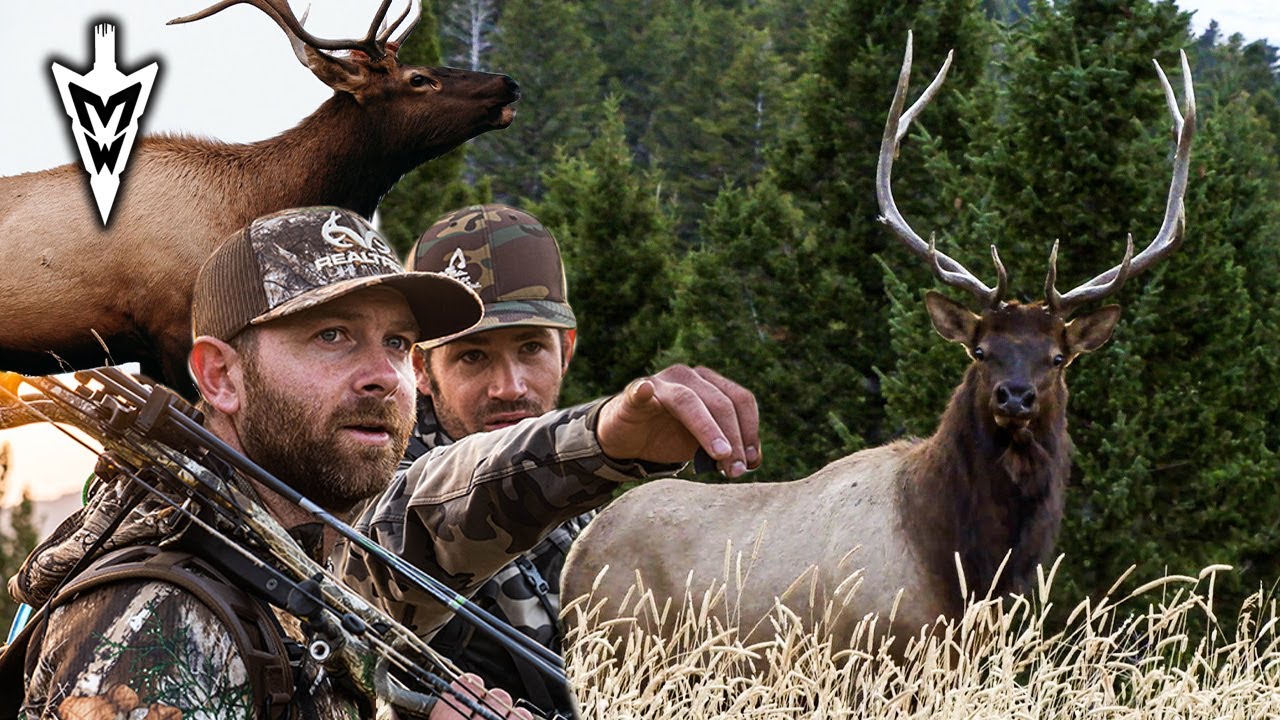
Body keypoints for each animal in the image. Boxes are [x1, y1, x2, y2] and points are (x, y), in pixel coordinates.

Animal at [561, 34, 1195, 657]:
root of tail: (579, 550)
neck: (970, 566)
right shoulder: (864, 647)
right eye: (981, 351)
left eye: (1058, 359)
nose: (1015, 397)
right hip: (615, 644)